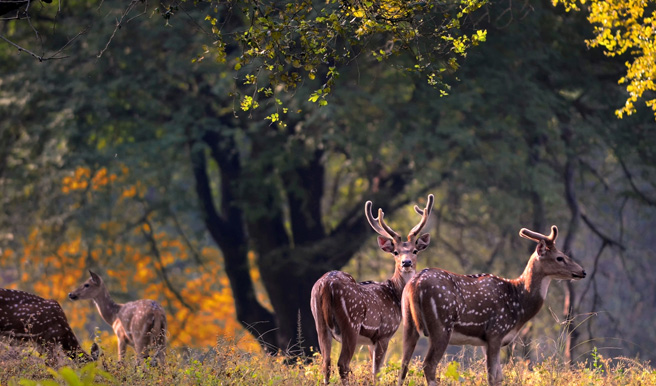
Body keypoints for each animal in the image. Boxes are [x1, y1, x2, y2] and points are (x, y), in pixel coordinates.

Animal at [312, 195, 436, 384]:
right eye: (395, 252)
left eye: (415, 251)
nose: (406, 263)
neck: (394, 294)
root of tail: (326, 284)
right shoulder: (384, 333)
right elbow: (377, 372)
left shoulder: (371, 341)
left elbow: (373, 369)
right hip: (351, 323)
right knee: (342, 364)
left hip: (319, 321)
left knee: (326, 363)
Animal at [398, 226, 588, 386]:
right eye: (560, 257)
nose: (582, 271)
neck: (519, 303)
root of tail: (414, 284)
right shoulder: (496, 331)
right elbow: (492, 377)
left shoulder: (486, 340)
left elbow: (499, 377)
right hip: (441, 325)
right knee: (429, 365)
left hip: (408, 322)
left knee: (403, 364)